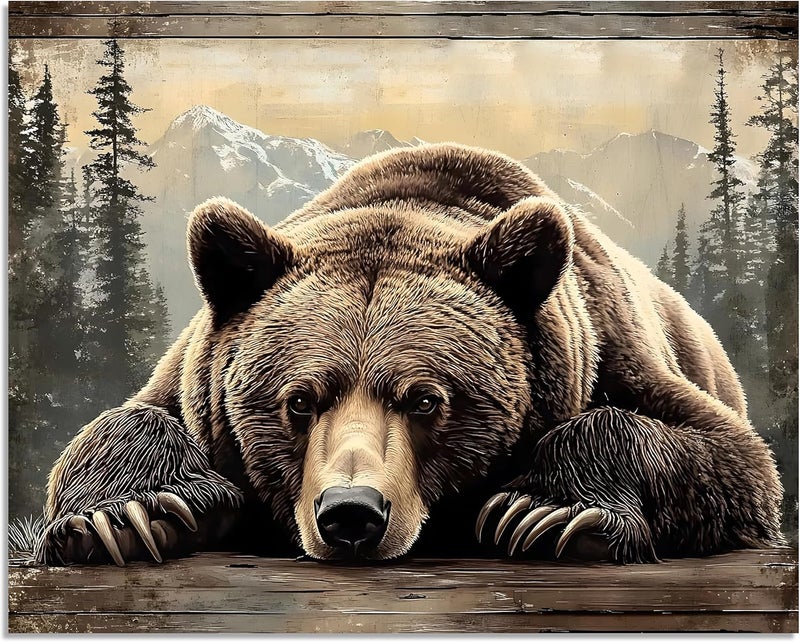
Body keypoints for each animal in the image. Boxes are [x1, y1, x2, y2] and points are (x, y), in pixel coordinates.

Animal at [35, 143, 784, 567]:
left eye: (425, 398)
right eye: (298, 400)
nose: (351, 514)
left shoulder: (611, 351)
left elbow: (728, 455)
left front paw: (548, 511)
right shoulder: (197, 373)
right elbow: (128, 421)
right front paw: (130, 513)